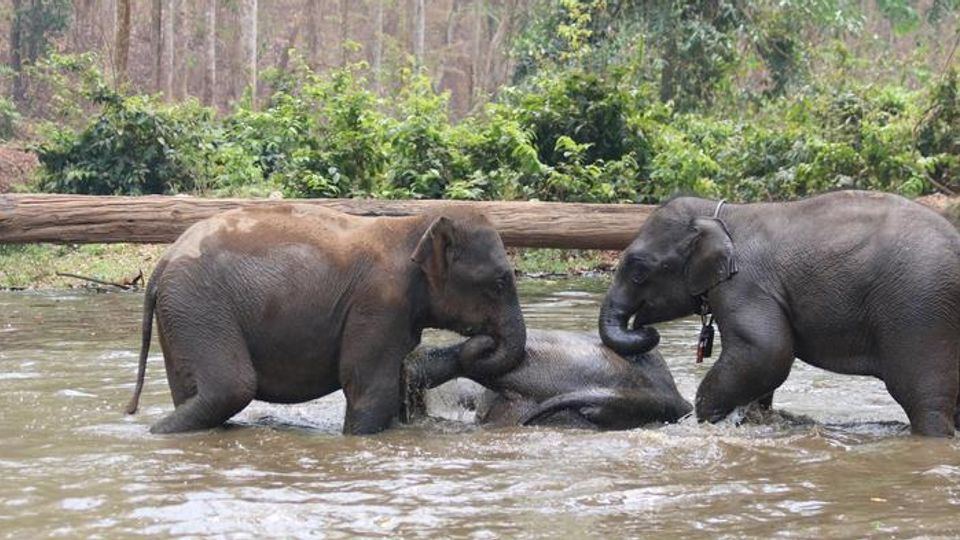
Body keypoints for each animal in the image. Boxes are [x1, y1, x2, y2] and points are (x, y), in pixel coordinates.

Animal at [124, 204, 526, 435]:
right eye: (499, 282)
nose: (485, 339)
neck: (413, 228)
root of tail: (162, 263)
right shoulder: (378, 304)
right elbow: (370, 389)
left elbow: (401, 378)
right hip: (200, 307)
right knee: (231, 387)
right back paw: (154, 433)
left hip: (181, 314)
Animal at [599, 190, 960, 437]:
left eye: (638, 271)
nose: (644, 330)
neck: (721, 213)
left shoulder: (745, 285)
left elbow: (766, 352)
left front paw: (705, 419)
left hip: (919, 307)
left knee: (922, 397)